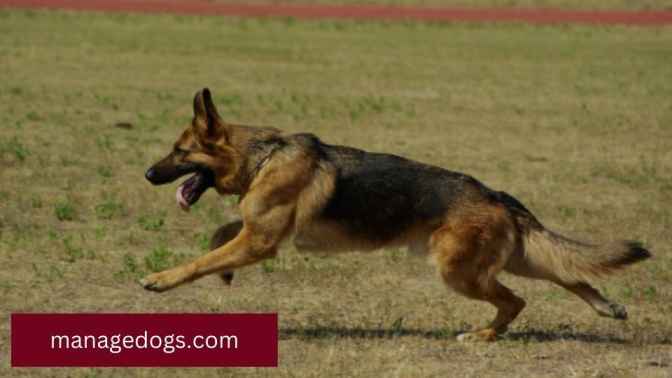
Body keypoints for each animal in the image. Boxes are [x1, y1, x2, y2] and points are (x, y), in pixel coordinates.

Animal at [143, 88, 652, 342]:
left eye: (179, 152)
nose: (147, 174)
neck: (264, 156)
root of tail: (496, 195)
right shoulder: (256, 233)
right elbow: (220, 236)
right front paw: (224, 273)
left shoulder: (260, 241)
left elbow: (202, 259)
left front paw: (162, 279)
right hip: (510, 258)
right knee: (567, 272)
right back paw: (607, 307)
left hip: (460, 272)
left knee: (517, 301)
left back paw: (483, 335)